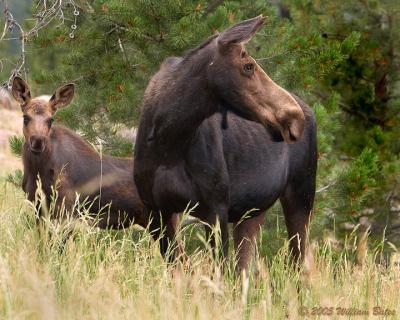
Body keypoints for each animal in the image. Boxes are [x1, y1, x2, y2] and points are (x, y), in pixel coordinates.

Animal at [12, 76, 147, 229]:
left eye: (50, 120)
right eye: (25, 117)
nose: (37, 141)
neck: (36, 170)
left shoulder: (67, 208)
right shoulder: (38, 207)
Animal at [134, 15, 316, 270]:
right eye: (248, 66)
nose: (294, 117)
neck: (169, 139)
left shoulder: (215, 208)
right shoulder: (156, 212)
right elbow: (181, 267)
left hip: (302, 196)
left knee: (298, 264)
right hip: (253, 212)